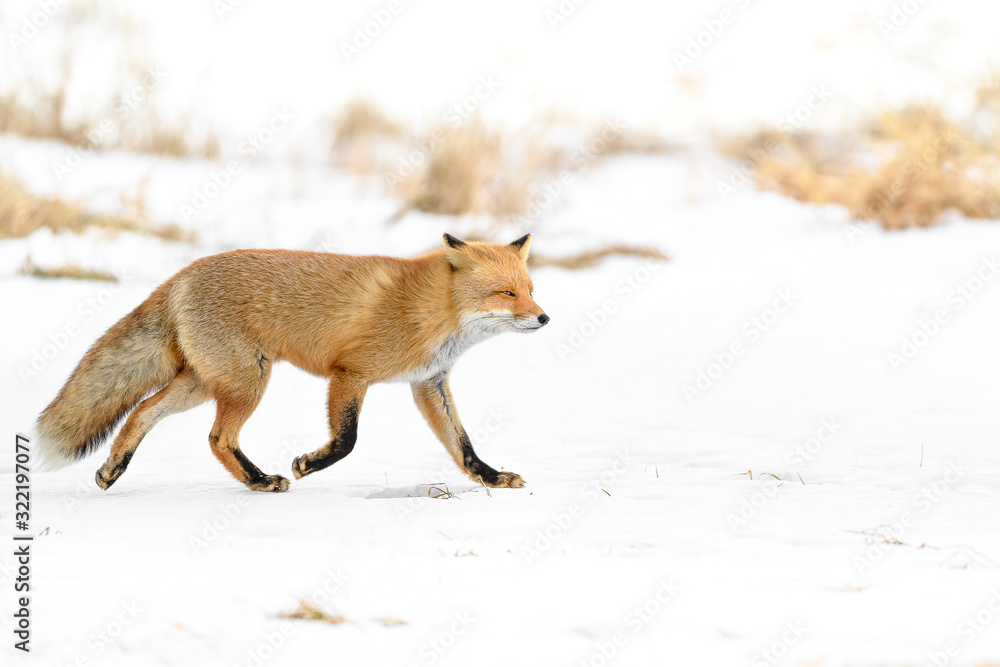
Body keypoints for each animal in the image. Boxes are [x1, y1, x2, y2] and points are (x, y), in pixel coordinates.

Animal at [36, 233, 549, 493]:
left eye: (530, 289)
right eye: (506, 293)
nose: (544, 318)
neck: (432, 310)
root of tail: (180, 276)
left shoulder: (428, 383)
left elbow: (462, 444)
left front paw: (491, 477)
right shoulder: (351, 373)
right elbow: (347, 440)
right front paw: (309, 464)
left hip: (205, 383)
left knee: (143, 411)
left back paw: (113, 469)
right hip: (248, 380)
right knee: (217, 437)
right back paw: (260, 480)